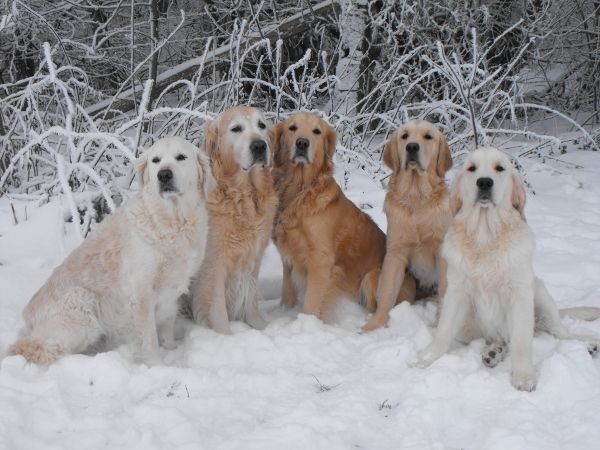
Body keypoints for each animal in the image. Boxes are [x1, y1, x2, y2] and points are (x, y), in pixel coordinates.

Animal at [9, 137, 213, 366]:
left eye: (181, 157)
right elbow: (149, 339)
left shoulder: (172, 290)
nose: (164, 175)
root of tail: (27, 319)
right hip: (81, 303)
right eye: (156, 160)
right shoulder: (140, 293)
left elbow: (167, 327)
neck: (171, 221)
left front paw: (171, 351)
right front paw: (158, 367)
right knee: (40, 349)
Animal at [190, 106, 278, 334]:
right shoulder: (213, 264)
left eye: (261, 125)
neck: (242, 195)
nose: (259, 145)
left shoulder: (254, 257)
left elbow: (250, 297)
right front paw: (225, 336)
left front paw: (259, 326)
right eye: (236, 128)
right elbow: (217, 307)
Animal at [274, 112, 418, 320]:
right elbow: (287, 292)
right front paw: (284, 312)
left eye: (316, 131)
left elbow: (311, 304)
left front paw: (306, 322)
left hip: (372, 276)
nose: (302, 143)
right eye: (292, 128)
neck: (300, 190)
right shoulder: (288, 257)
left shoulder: (321, 261)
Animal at [360, 119, 454, 330]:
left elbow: (445, 289)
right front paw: (375, 325)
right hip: (376, 276)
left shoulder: (442, 253)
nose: (412, 147)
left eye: (428, 136)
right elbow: (386, 293)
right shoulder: (396, 253)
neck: (416, 196)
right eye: (404, 136)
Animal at [418, 147, 600, 390]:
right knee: (498, 338)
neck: (486, 234)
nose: (484, 182)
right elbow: (443, 331)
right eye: (471, 168)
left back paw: (585, 344)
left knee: (559, 331)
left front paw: (523, 376)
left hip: (540, 292)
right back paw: (493, 351)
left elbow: (522, 341)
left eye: (500, 168)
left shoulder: (519, 293)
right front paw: (426, 358)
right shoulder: (456, 292)